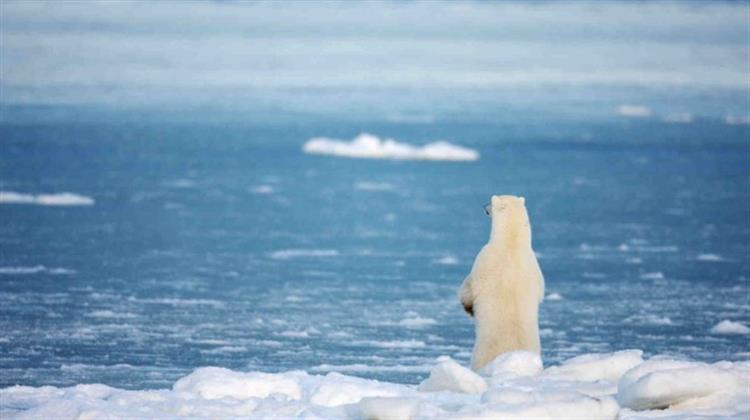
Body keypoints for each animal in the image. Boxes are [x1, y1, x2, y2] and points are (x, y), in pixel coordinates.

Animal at [458, 194, 548, 370]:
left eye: (491, 201)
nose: (484, 207)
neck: (511, 243)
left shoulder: (484, 258)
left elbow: (469, 287)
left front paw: (468, 307)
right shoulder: (535, 268)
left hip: (480, 353)